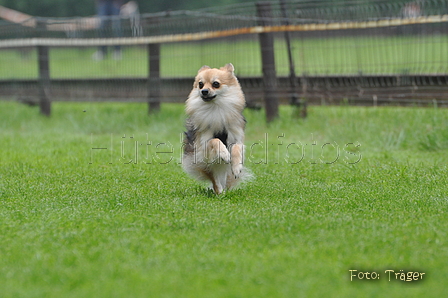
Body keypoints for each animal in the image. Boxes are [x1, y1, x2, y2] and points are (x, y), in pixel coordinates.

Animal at [182, 63, 248, 194]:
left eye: (216, 84)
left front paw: (237, 166)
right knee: (215, 181)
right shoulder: (203, 145)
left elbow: (236, 148)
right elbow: (215, 140)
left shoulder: (236, 138)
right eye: (200, 84)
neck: (215, 109)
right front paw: (224, 154)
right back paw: (220, 192)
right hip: (208, 166)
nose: (204, 91)